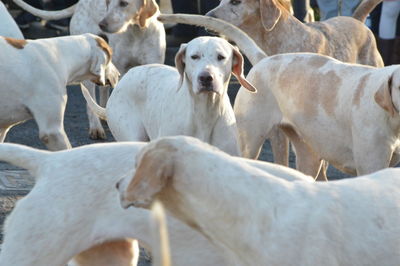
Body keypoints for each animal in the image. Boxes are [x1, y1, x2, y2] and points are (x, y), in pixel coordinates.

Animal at [13, 0, 165, 140]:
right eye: (108, 3)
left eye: (124, 3)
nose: (102, 24)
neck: (137, 32)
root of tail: (80, 3)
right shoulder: (121, 69)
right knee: (91, 102)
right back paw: (96, 127)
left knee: (104, 90)